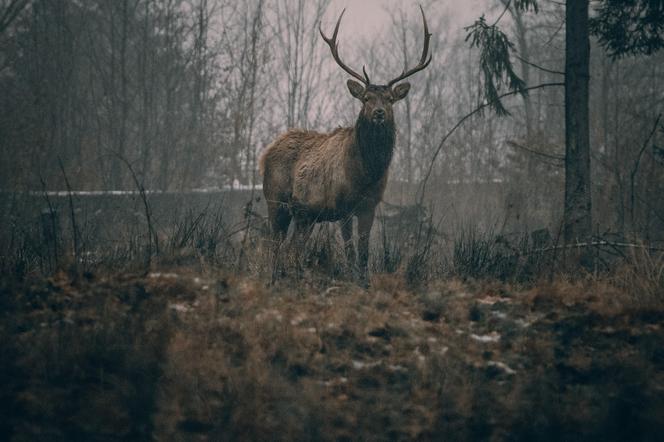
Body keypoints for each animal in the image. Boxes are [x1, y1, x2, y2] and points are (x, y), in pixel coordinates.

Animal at [256, 6, 434, 276]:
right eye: (366, 98)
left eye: (390, 99)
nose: (379, 113)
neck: (366, 173)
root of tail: (265, 154)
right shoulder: (343, 207)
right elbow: (350, 249)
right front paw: (351, 276)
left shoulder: (369, 206)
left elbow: (363, 251)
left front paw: (363, 278)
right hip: (276, 200)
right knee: (273, 244)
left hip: (304, 216)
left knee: (292, 248)